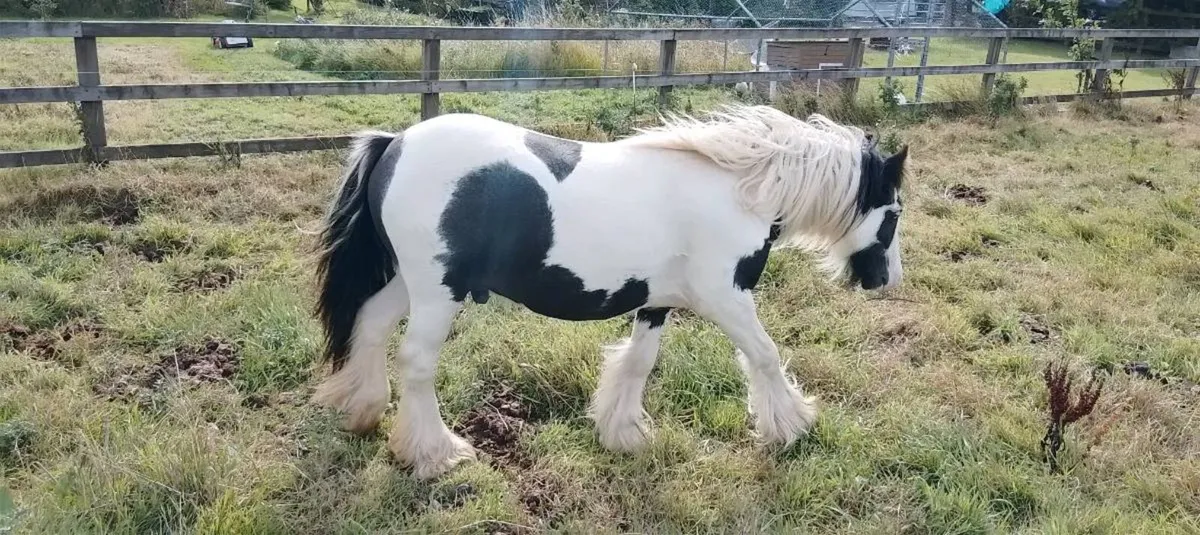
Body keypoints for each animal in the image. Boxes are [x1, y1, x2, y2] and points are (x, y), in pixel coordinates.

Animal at [311, 104, 908, 479]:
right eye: (896, 213)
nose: (887, 280)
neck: (741, 190)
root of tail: (395, 143)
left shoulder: (657, 301)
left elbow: (638, 363)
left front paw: (623, 433)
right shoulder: (727, 297)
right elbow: (763, 354)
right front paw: (790, 426)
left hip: (407, 282)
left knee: (369, 326)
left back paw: (364, 412)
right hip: (438, 290)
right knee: (416, 361)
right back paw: (435, 453)